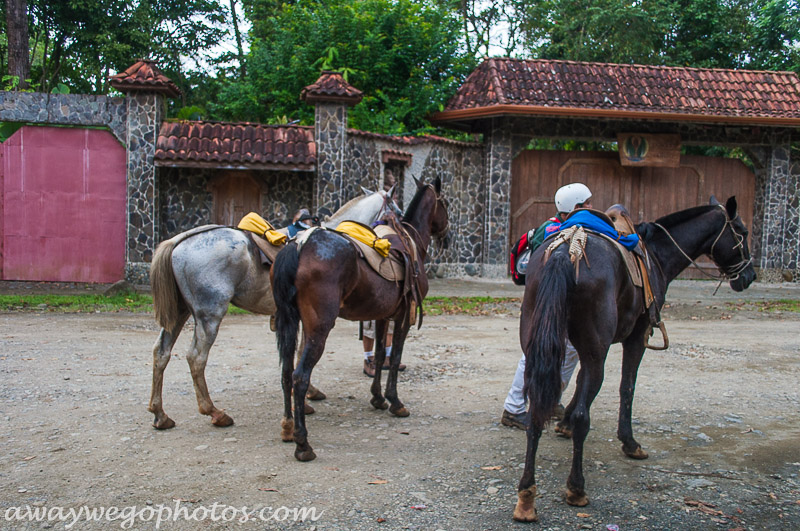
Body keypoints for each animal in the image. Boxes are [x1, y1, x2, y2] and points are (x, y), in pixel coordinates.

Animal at [147, 189, 400, 430]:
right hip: (209, 315)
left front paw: (308, 395)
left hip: (180, 313)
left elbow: (298, 353)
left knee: (161, 352)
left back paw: (160, 415)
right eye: (397, 210)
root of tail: (179, 241)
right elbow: (302, 353)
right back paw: (214, 413)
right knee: (196, 358)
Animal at [272, 178, 450, 462]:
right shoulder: (404, 318)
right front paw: (395, 402)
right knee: (300, 376)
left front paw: (377, 398)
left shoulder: (381, 316)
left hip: (291, 323)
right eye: (445, 204)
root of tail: (300, 245)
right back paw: (303, 443)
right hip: (318, 330)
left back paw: (288, 427)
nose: (448, 235)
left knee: (287, 372)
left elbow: (378, 355)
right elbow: (394, 356)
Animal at [512, 197, 756, 520]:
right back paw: (576, 488)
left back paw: (526, 496)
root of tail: (568, 250)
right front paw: (629, 442)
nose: (750, 276)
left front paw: (562, 424)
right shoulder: (637, 336)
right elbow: (627, 387)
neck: (656, 253)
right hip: (596, 348)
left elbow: (578, 381)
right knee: (582, 418)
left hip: (539, 342)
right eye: (742, 231)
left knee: (537, 409)